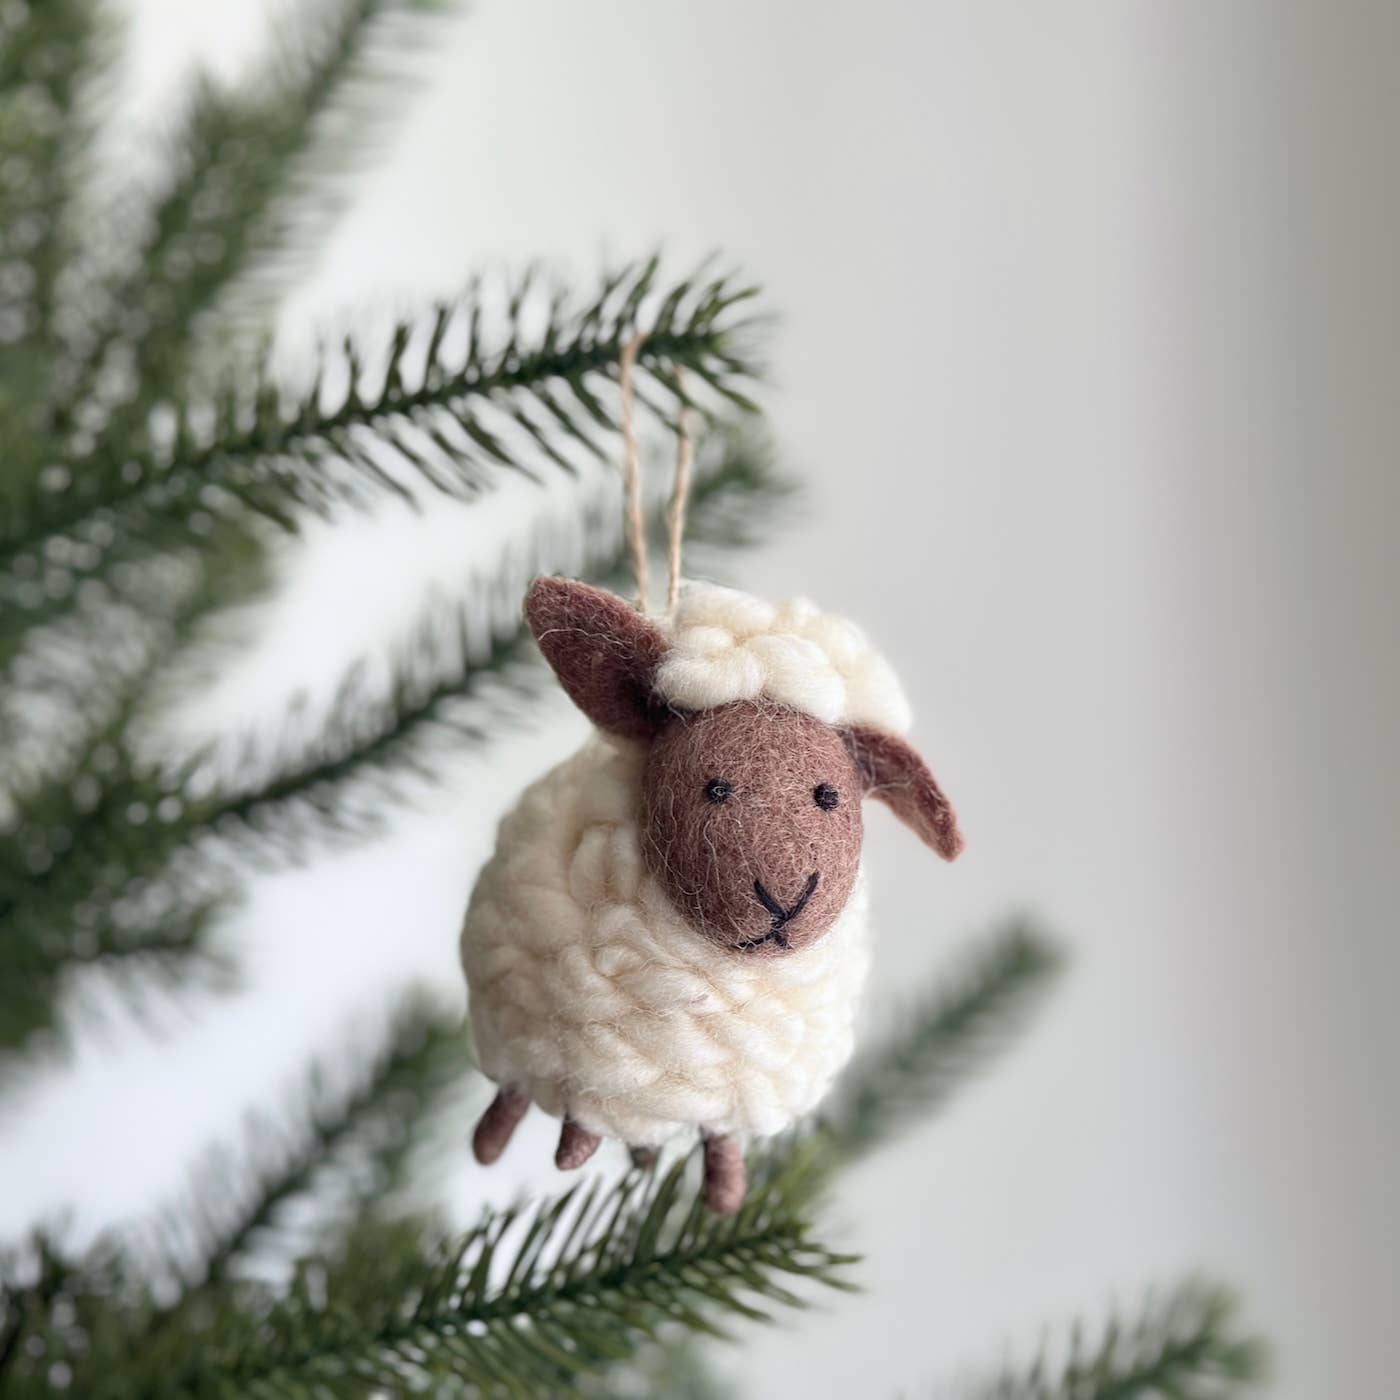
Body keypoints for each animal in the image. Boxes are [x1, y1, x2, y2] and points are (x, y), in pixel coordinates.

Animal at [459, 575, 964, 1213]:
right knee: (513, 1095)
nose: (786, 900)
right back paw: (494, 1146)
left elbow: (723, 1145)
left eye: (829, 795)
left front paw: (725, 1199)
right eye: (715, 788)